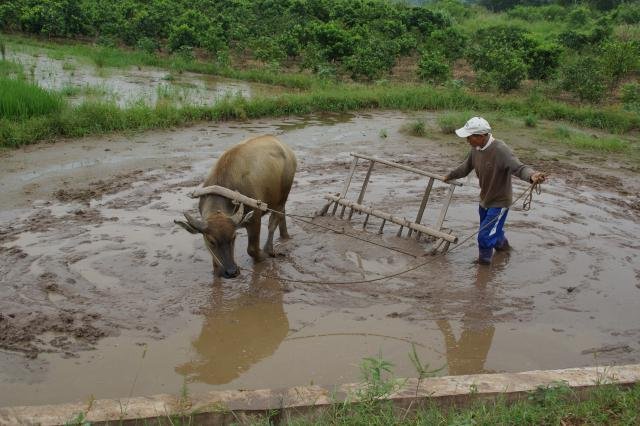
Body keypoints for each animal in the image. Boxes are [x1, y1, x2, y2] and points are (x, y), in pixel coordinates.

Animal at [174, 135, 296, 278]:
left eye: (234, 237)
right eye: (211, 241)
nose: (231, 271)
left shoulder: (255, 219)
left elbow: (252, 249)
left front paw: (262, 256)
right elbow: (215, 261)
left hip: (283, 196)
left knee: (273, 222)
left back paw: (269, 249)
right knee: (282, 215)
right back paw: (284, 235)